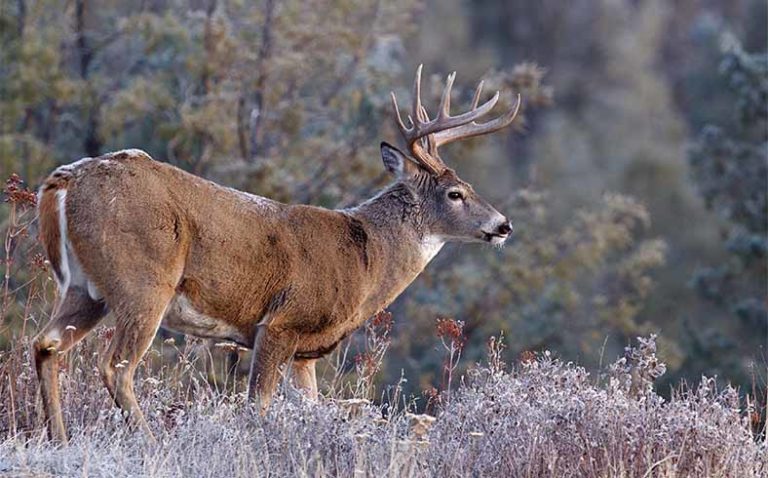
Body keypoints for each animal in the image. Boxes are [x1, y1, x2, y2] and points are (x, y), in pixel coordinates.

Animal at [31, 65, 520, 442]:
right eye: (456, 193)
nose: (503, 225)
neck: (366, 260)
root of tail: (63, 181)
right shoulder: (281, 323)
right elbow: (257, 407)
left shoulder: (306, 352)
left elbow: (308, 407)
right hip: (143, 281)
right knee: (115, 366)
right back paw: (150, 445)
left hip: (84, 288)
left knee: (46, 344)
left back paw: (59, 440)